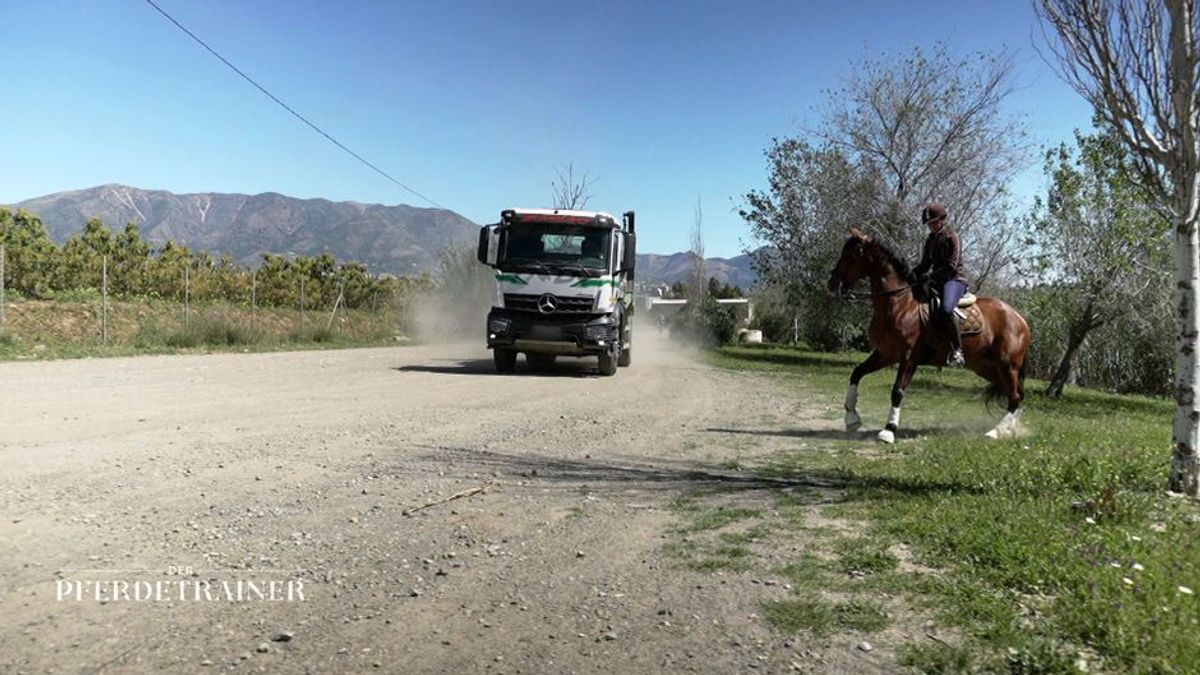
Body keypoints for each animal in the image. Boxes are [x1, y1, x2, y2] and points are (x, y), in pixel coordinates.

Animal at [825, 228, 1032, 441]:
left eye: (851, 254)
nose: (832, 283)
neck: (900, 304)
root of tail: (1020, 319)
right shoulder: (885, 354)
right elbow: (856, 373)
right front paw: (851, 418)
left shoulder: (909, 358)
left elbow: (897, 391)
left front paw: (888, 430)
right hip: (988, 368)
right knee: (1016, 394)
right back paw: (1009, 429)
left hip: (1007, 365)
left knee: (1015, 396)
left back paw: (996, 431)